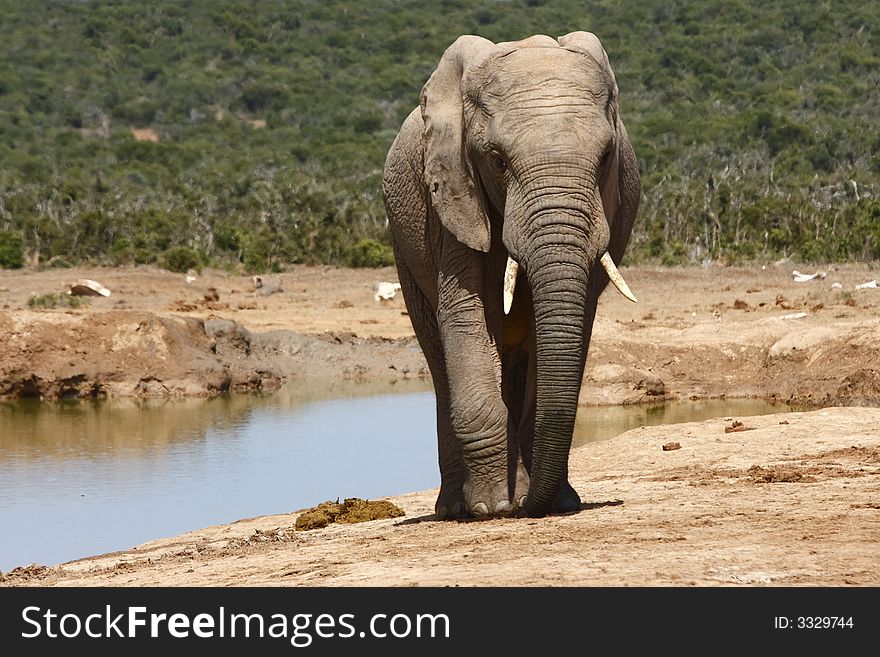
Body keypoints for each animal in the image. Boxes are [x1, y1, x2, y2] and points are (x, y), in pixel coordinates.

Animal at [380, 32, 640, 516]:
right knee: (439, 358)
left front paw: (549, 502)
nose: (525, 508)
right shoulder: (455, 196)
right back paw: (456, 509)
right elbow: (466, 314)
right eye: (498, 161)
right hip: (404, 247)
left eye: (605, 158)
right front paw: (492, 507)